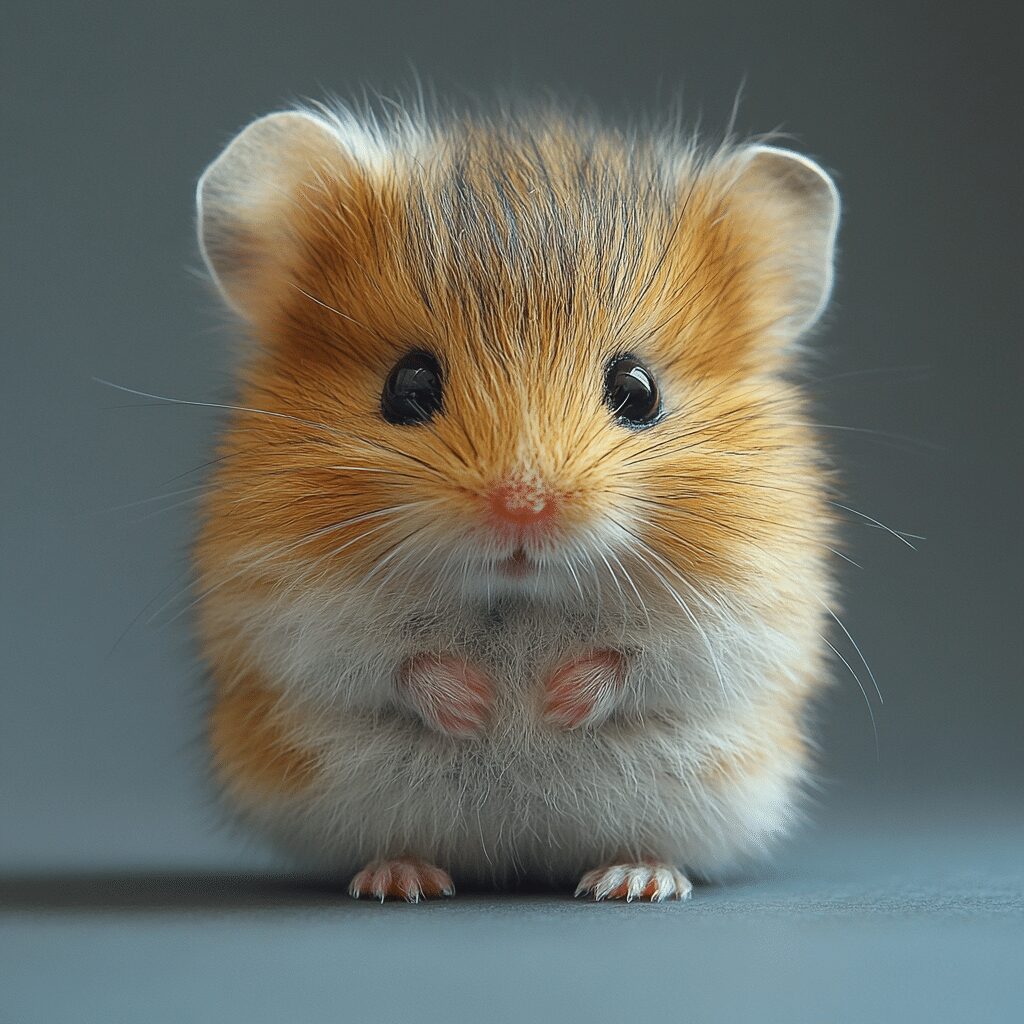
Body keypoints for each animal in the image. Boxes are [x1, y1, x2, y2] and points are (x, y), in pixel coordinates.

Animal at [193, 102, 841, 902]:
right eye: (408, 385)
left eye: (638, 390)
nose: (523, 507)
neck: (517, 596)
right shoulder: (291, 613)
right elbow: (395, 662)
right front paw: (481, 711)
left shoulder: (742, 616)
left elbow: (634, 661)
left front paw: (547, 709)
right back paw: (401, 878)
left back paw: (634, 880)